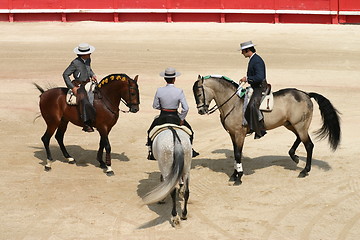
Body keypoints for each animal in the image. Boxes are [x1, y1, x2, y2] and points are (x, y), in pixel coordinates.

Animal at [191, 75, 340, 186]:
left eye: (199, 93)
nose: (201, 111)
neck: (233, 103)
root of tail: (306, 94)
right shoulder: (233, 134)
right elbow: (235, 153)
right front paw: (234, 174)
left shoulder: (239, 134)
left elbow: (238, 154)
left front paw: (239, 177)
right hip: (291, 124)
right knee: (300, 139)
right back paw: (294, 156)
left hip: (299, 125)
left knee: (309, 145)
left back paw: (304, 170)